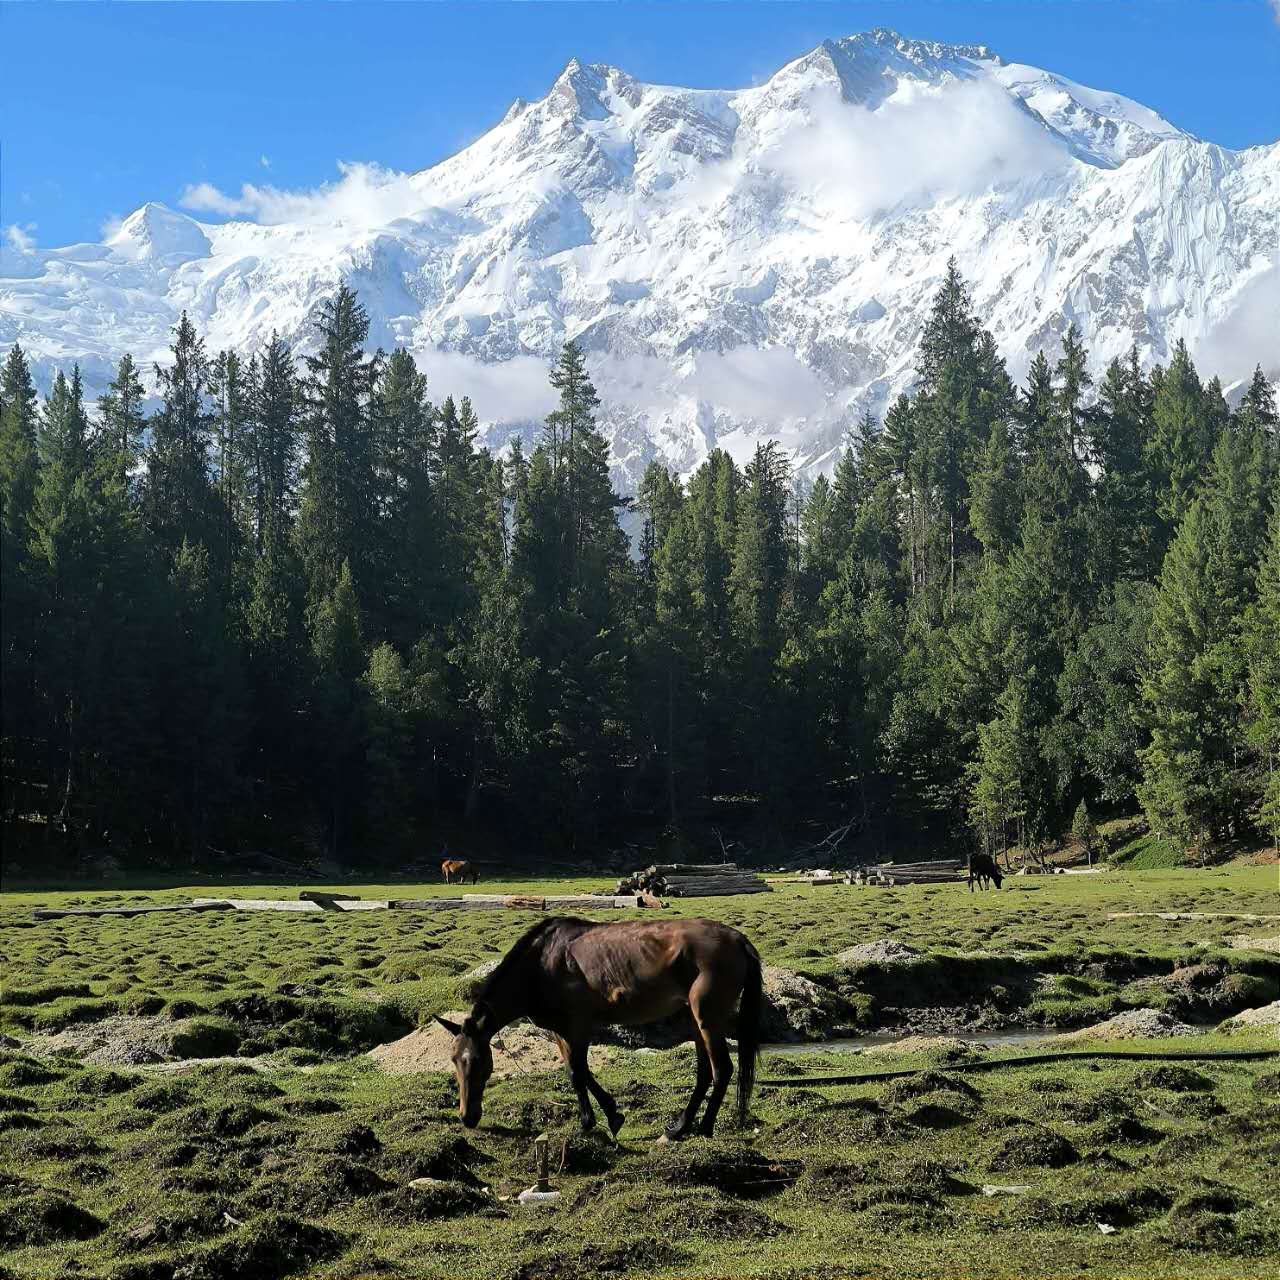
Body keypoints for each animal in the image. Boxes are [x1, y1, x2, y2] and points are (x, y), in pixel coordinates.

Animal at [435, 921, 762, 1141]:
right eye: (453, 1061)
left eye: (476, 1061)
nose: (467, 1117)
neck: (540, 965)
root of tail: (737, 939)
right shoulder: (561, 1032)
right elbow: (576, 1072)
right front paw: (610, 1114)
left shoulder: (578, 1027)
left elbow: (579, 1073)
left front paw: (592, 1121)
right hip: (695, 1021)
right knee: (705, 1073)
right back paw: (678, 1129)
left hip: (707, 1018)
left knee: (722, 1069)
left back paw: (704, 1128)